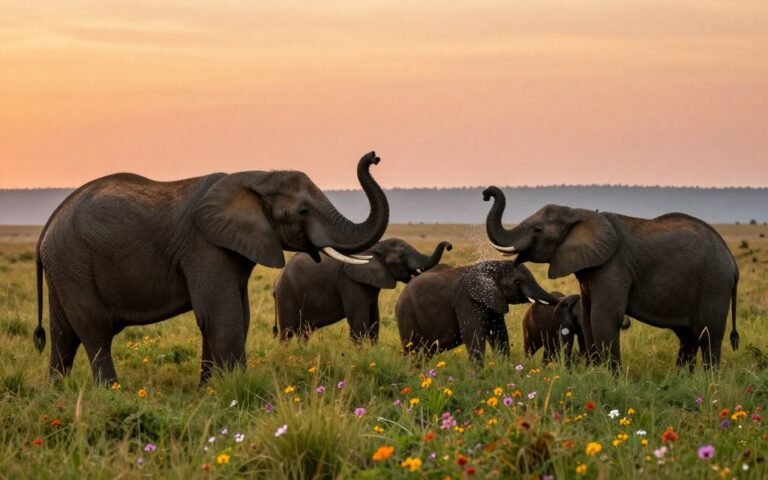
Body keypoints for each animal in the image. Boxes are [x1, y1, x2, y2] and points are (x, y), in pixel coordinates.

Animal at [33, 151, 390, 385]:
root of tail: (49, 223)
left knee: (64, 334)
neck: (256, 177)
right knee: (94, 331)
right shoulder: (203, 246)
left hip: (64, 268)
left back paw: (58, 394)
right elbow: (222, 316)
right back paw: (111, 392)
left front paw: (209, 390)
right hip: (74, 263)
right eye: (302, 211)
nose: (374, 157)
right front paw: (235, 392)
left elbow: (236, 315)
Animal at [273, 238, 452, 343]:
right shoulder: (349, 281)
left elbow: (374, 321)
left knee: (303, 332)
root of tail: (277, 279)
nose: (449, 246)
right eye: (401, 256)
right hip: (286, 295)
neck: (374, 248)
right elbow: (359, 322)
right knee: (287, 332)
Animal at [395, 260, 560, 364]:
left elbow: (499, 334)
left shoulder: (493, 300)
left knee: (425, 352)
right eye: (518, 282)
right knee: (413, 350)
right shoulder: (466, 301)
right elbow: (474, 337)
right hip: (406, 317)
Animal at [483, 186, 739, 371]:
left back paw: (707, 381)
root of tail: (733, 261)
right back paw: (681, 379)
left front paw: (611, 379)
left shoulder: (613, 267)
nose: (486, 194)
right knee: (687, 336)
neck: (578, 212)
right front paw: (595, 374)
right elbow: (588, 319)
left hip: (714, 284)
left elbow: (603, 317)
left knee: (708, 334)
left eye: (537, 230)